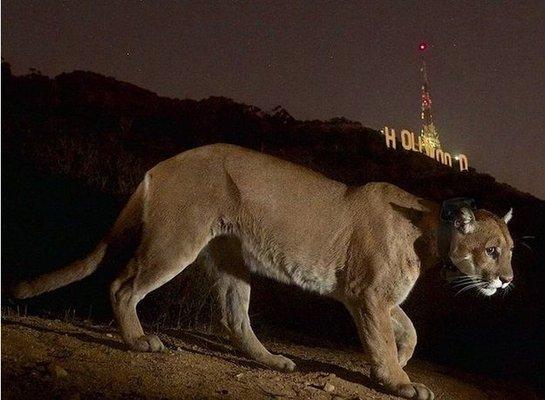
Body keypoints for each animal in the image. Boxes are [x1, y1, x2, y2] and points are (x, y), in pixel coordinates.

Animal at [13, 145, 516, 400]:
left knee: (233, 317)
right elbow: (386, 338)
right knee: (123, 285)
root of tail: (162, 162)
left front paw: (401, 362)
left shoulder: (373, 296)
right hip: (177, 240)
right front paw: (398, 381)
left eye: (512, 252)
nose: (508, 280)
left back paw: (271, 359)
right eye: (493, 250)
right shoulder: (368, 294)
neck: (430, 230)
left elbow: (409, 329)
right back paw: (139, 341)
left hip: (230, 259)